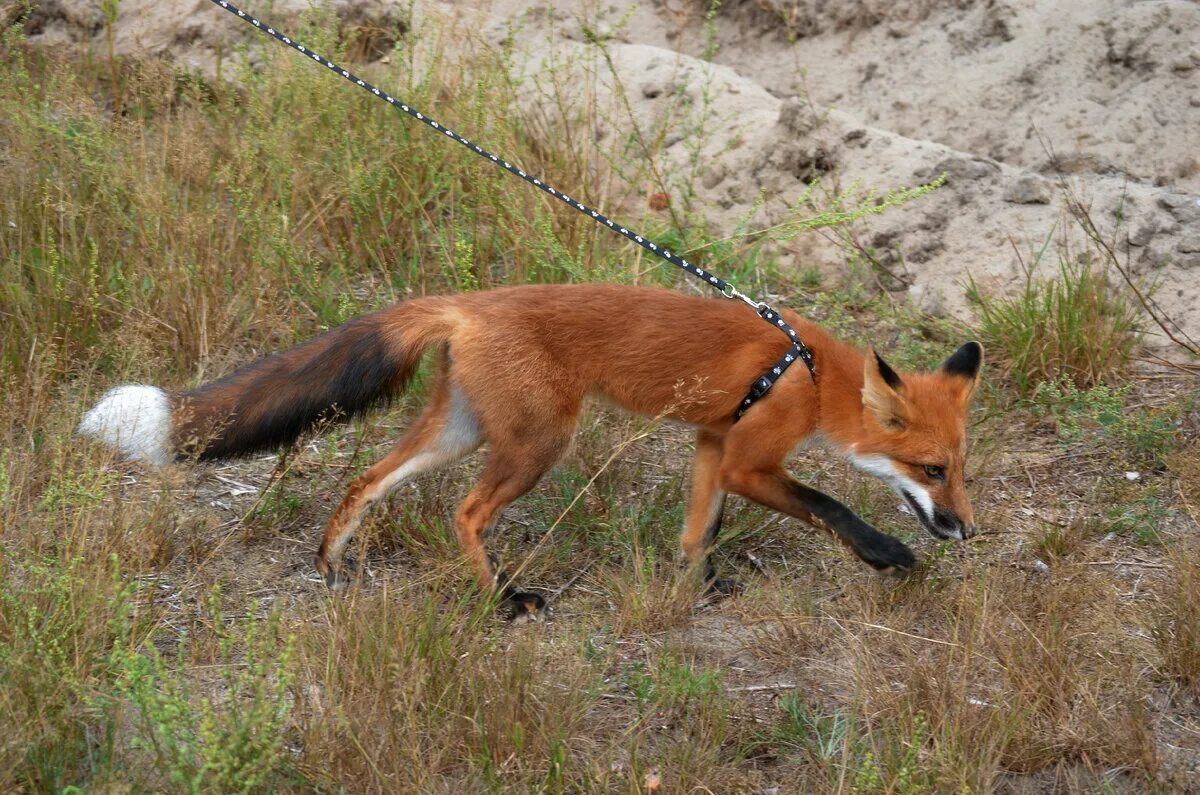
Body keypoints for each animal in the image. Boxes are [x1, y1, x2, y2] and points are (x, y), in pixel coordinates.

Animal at [82, 283, 984, 619]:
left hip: (462, 432)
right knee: (464, 510)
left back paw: (332, 561)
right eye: (931, 471)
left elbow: (698, 528)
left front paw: (694, 588)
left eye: (960, 469)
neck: (809, 372)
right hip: (536, 444)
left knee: (369, 477)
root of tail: (465, 301)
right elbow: (825, 504)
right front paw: (885, 552)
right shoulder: (747, 455)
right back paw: (500, 600)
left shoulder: (711, 441)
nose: (966, 530)